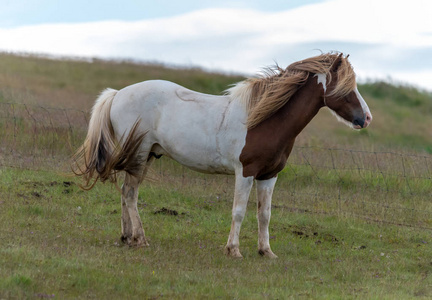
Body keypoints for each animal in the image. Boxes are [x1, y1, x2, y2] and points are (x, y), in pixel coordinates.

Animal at [73, 52, 372, 258]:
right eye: (346, 88)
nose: (366, 118)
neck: (263, 119)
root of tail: (117, 94)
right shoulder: (246, 173)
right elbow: (238, 211)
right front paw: (233, 250)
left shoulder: (269, 176)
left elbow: (265, 214)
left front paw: (266, 252)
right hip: (138, 156)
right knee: (131, 195)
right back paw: (141, 239)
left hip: (143, 158)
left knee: (125, 194)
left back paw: (127, 238)